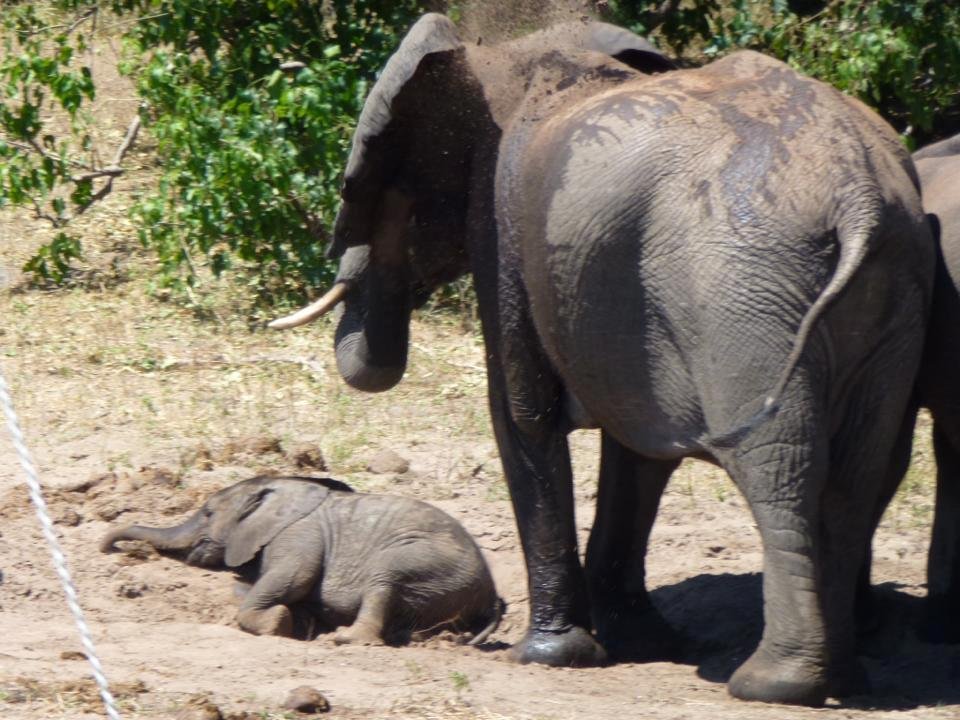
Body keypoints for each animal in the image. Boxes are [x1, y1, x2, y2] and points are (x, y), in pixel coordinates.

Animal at [101, 475, 504, 645]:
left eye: (207, 513)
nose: (108, 548)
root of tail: (492, 595)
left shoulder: (299, 534)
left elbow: (294, 577)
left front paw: (278, 623)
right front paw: (296, 622)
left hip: (436, 562)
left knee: (385, 575)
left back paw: (347, 639)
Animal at [269, 15, 934, 706]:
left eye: (378, 190)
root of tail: (856, 196)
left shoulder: (504, 224)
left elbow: (521, 414)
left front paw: (547, 657)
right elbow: (636, 451)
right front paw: (642, 645)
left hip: (745, 299)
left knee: (783, 468)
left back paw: (771, 684)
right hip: (893, 288)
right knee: (859, 474)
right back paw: (844, 680)